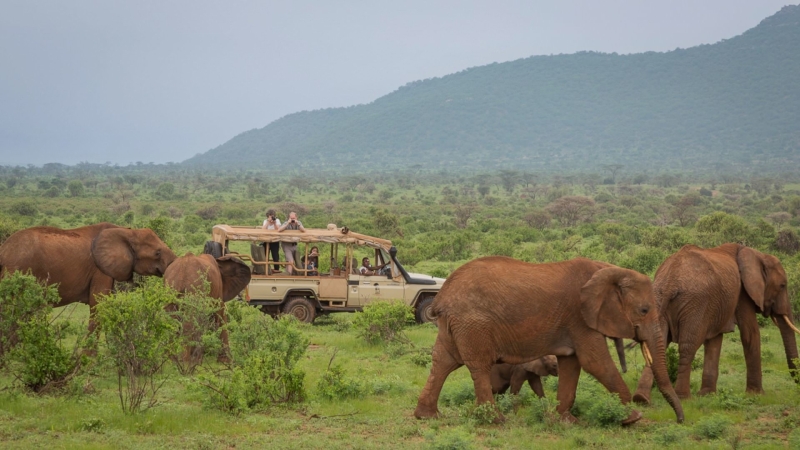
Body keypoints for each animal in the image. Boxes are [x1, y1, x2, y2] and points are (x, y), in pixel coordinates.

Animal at [0, 223, 177, 336]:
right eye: (157, 253)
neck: (127, 231)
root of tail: (3, 250)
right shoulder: (99, 270)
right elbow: (98, 305)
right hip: (16, 269)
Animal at [416, 256, 684, 426]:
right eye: (644, 310)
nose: (680, 420)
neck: (608, 269)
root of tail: (442, 295)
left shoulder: (574, 323)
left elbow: (572, 364)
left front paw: (565, 421)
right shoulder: (580, 317)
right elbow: (595, 362)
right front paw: (632, 418)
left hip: (455, 325)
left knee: (443, 362)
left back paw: (427, 417)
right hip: (473, 323)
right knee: (478, 366)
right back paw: (496, 421)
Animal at [632, 244, 800, 402]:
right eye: (782, 286)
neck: (757, 254)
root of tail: (670, 282)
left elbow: (715, 340)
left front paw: (707, 394)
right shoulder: (742, 293)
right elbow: (750, 333)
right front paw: (756, 395)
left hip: (657, 301)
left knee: (656, 343)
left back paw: (641, 398)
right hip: (695, 304)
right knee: (688, 346)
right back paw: (684, 398)